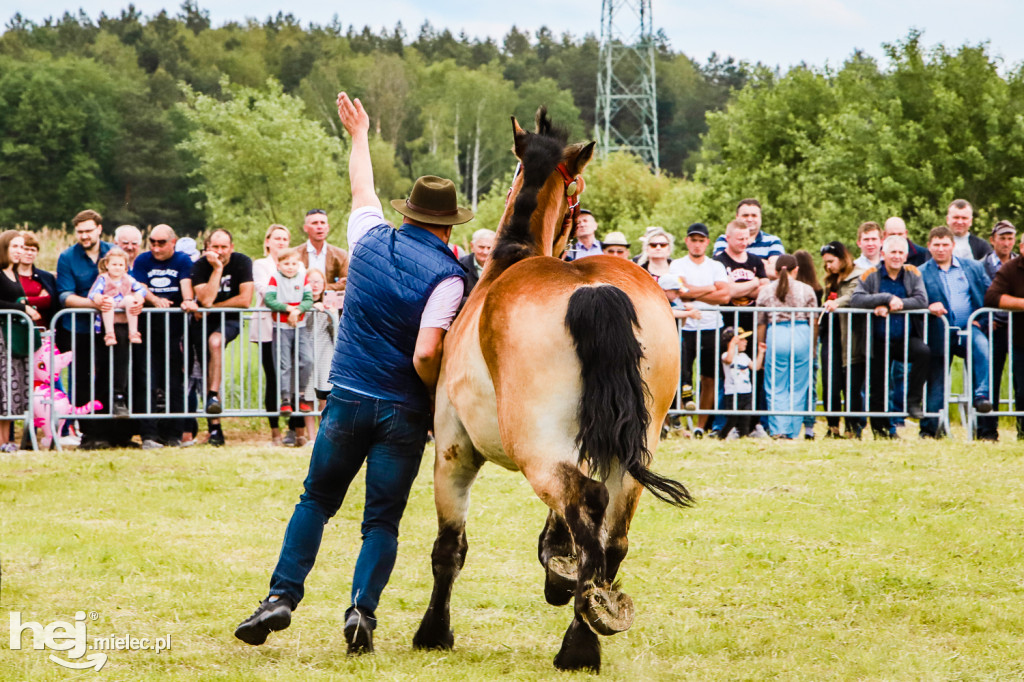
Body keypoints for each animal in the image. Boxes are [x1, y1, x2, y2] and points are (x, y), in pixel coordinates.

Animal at [411, 110, 692, 667]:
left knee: (589, 504)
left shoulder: (453, 450)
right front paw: (556, 567)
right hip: (633, 447)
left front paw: (434, 631)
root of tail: (592, 289)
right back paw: (590, 612)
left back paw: (579, 644)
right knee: (611, 533)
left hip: (533, 449)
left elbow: (449, 548)